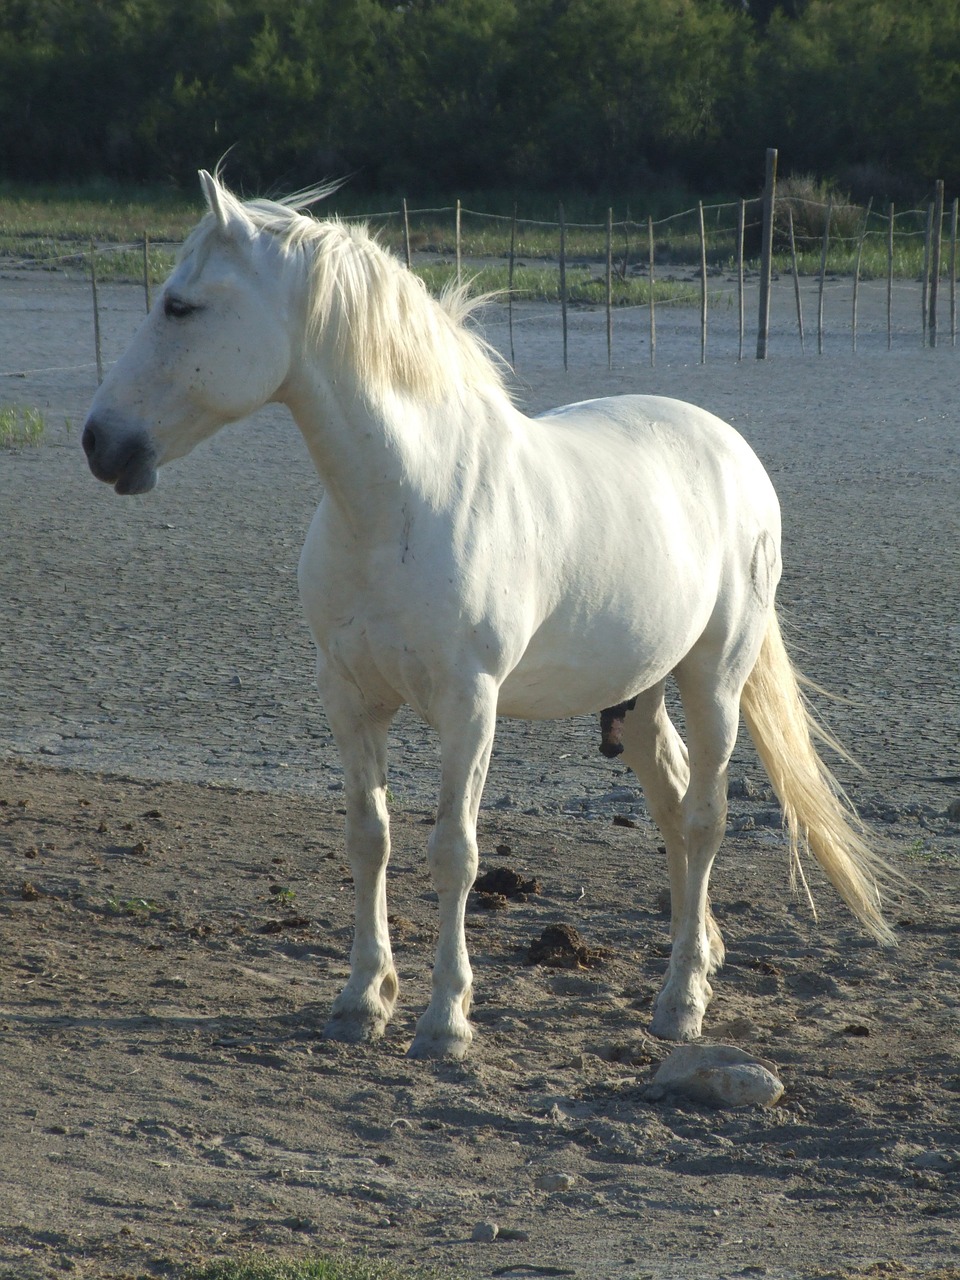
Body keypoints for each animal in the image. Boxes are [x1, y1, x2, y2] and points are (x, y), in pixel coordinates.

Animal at [80, 170, 896, 1059]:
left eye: (180, 305)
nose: (98, 442)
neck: (402, 502)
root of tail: (734, 454)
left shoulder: (470, 706)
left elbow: (455, 855)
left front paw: (445, 1019)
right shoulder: (349, 697)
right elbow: (369, 837)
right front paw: (362, 1000)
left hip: (715, 677)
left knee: (706, 817)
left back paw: (682, 1001)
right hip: (639, 695)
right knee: (674, 807)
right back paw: (701, 952)